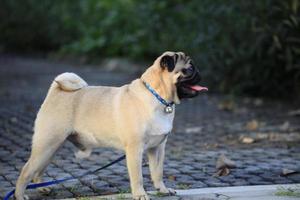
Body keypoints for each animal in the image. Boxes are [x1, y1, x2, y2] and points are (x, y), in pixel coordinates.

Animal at [14, 50, 206, 199]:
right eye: (189, 69)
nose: (199, 71)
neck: (158, 97)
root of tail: (56, 92)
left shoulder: (157, 148)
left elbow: (157, 172)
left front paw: (163, 190)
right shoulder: (135, 149)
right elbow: (137, 177)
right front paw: (140, 194)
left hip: (51, 148)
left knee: (38, 170)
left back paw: (42, 188)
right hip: (47, 144)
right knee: (26, 171)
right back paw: (20, 195)